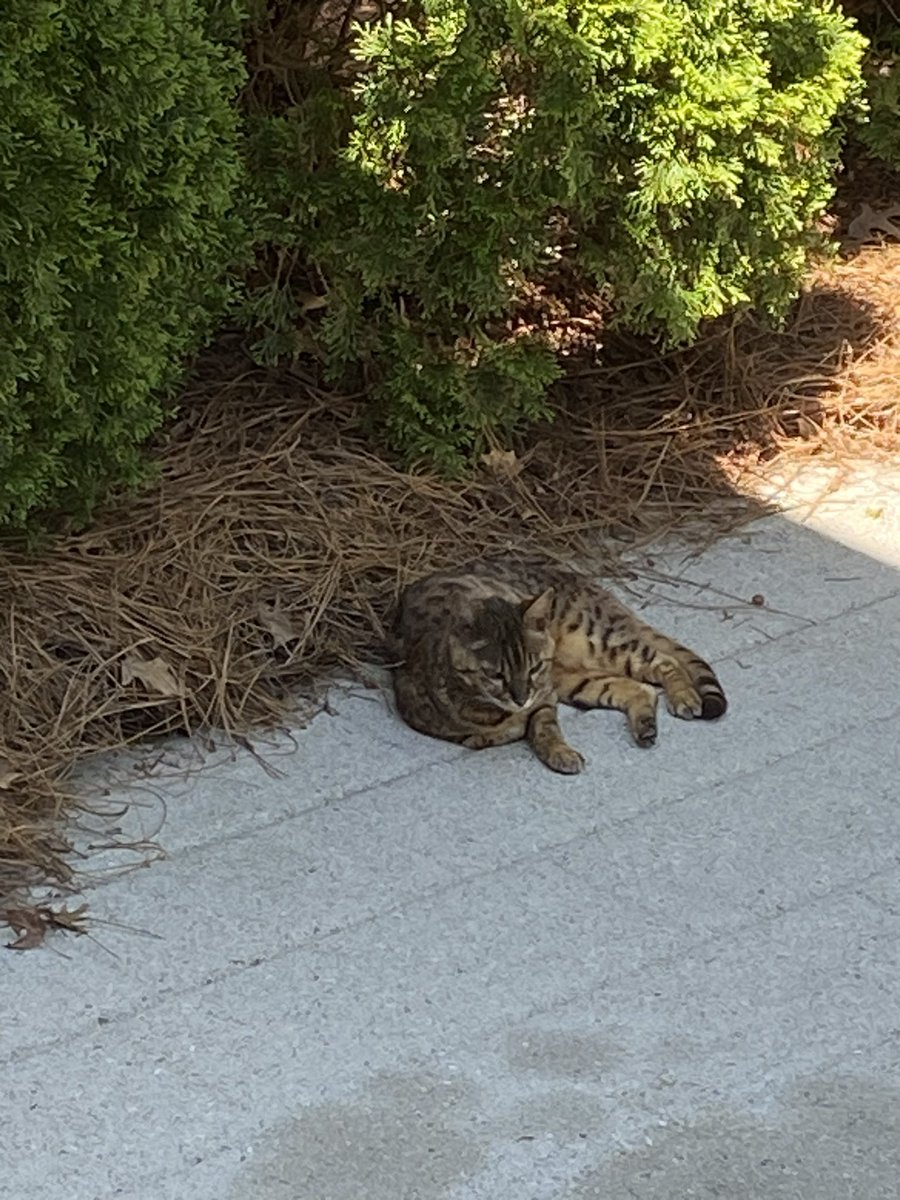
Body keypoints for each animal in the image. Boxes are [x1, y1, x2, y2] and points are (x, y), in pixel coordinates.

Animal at [391, 554, 729, 772]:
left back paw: (684, 697)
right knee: (639, 688)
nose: (521, 697)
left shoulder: (544, 697)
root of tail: (579, 578)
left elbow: (545, 728)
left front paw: (559, 751)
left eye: (533, 667)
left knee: (665, 660)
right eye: (497, 675)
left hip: (602, 641)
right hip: (576, 680)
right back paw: (645, 726)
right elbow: (483, 736)